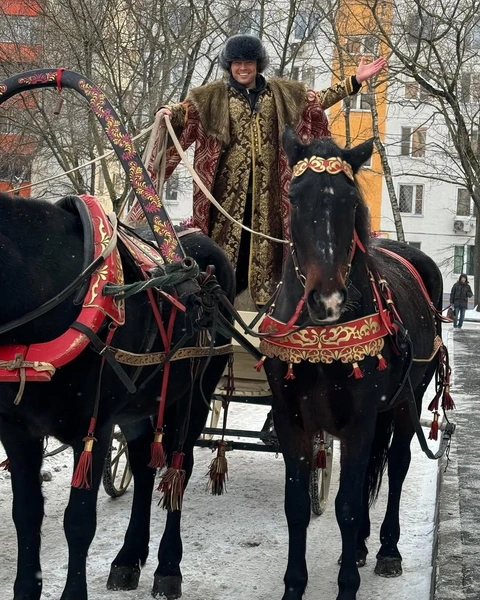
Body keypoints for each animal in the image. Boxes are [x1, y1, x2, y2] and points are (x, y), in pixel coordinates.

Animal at [0, 189, 234, 600]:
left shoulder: (94, 427)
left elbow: (79, 522)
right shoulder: (17, 428)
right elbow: (26, 514)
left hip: (195, 395)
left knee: (179, 468)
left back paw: (168, 567)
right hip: (140, 407)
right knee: (143, 467)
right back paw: (128, 559)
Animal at [260, 127, 448, 600]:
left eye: (349, 201)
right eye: (295, 197)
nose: (327, 301)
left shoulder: (359, 420)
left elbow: (346, 503)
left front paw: (348, 585)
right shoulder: (292, 420)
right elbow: (297, 506)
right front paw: (295, 585)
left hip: (406, 403)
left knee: (396, 465)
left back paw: (386, 550)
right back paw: (360, 546)